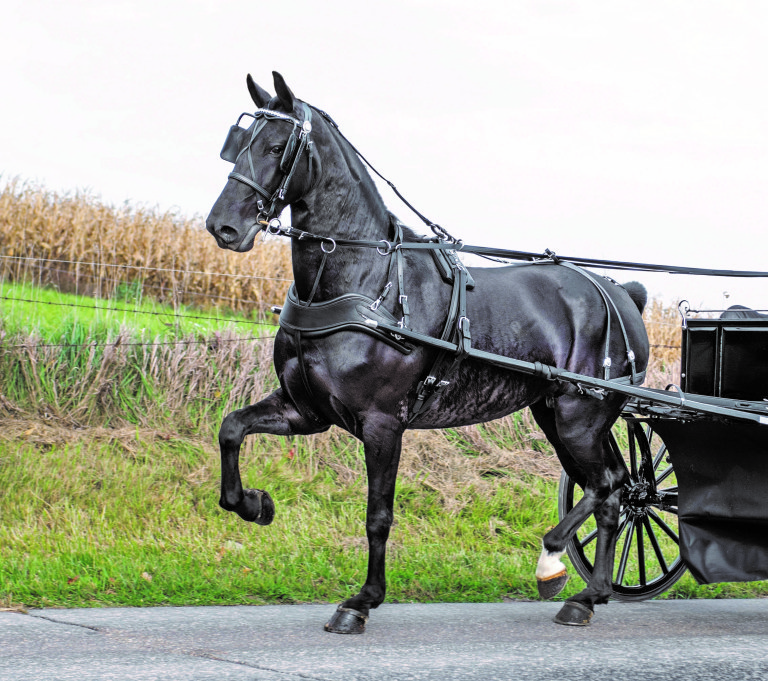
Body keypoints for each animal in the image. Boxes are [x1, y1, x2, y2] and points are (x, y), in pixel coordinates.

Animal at [206, 72, 650, 632]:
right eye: (237, 143)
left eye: (275, 147)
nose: (222, 227)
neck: (364, 282)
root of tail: (621, 292)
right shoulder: (306, 411)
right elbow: (232, 429)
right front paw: (253, 504)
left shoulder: (382, 424)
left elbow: (378, 515)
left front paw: (362, 601)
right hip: (560, 416)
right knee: (613, 491)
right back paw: (588, 595)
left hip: (579, 416)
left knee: (607, 484)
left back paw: (556, 563)